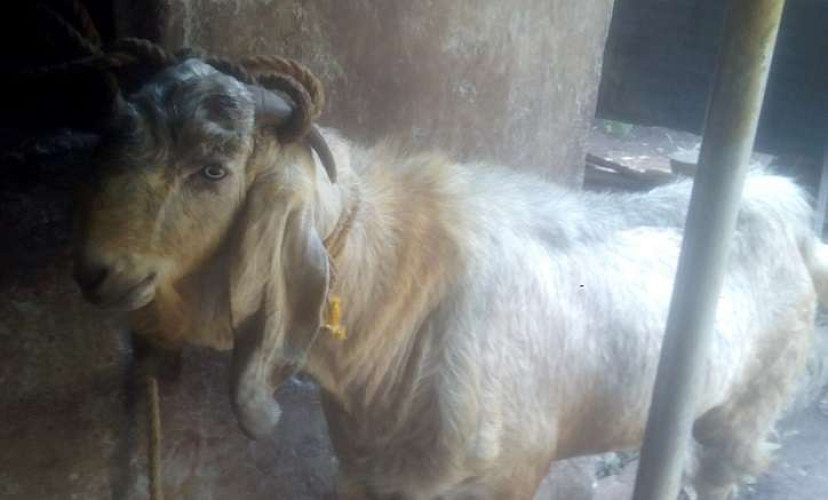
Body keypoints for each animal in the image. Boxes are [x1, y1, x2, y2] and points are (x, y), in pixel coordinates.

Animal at [74, 58, 828, 499]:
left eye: (212, 169)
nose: (94, 270)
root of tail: (785, 200)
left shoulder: (507, 475)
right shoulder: (370, 474)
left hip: (744, 411)